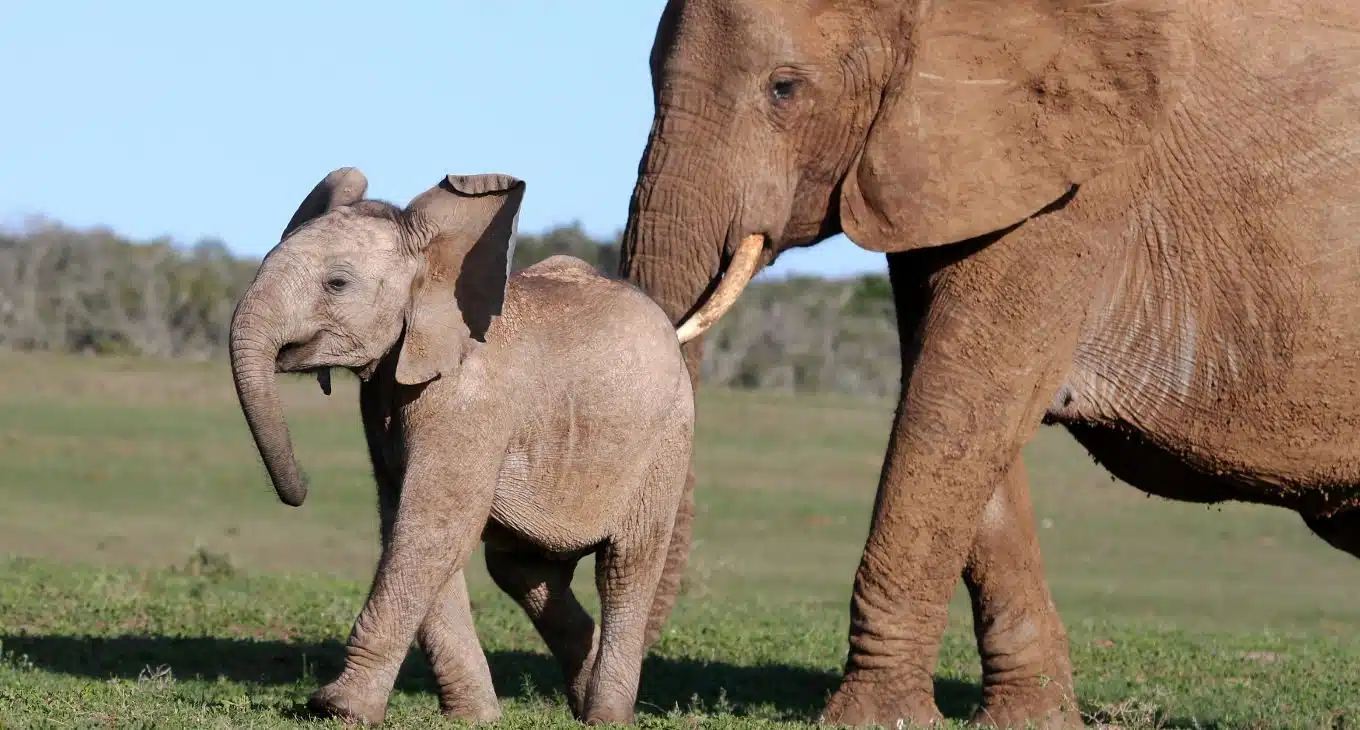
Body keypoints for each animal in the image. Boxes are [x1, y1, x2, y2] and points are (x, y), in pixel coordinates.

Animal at [231, 169, 723, 723]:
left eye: (338, 284)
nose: (299, 492)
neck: (433, 263)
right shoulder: (385, 395)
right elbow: (410, 524)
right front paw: (475, 718)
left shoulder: (470, 401)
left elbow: (433, 525)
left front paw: (337, 710)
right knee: (523, 570)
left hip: (669, 434)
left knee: (626, 567)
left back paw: (606, 716)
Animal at [622, 0, 1354, 723]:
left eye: (785, 88)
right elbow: (952, 403)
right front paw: (1031, 721)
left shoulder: (1076, 186)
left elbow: (961, 402)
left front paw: (874, 721)